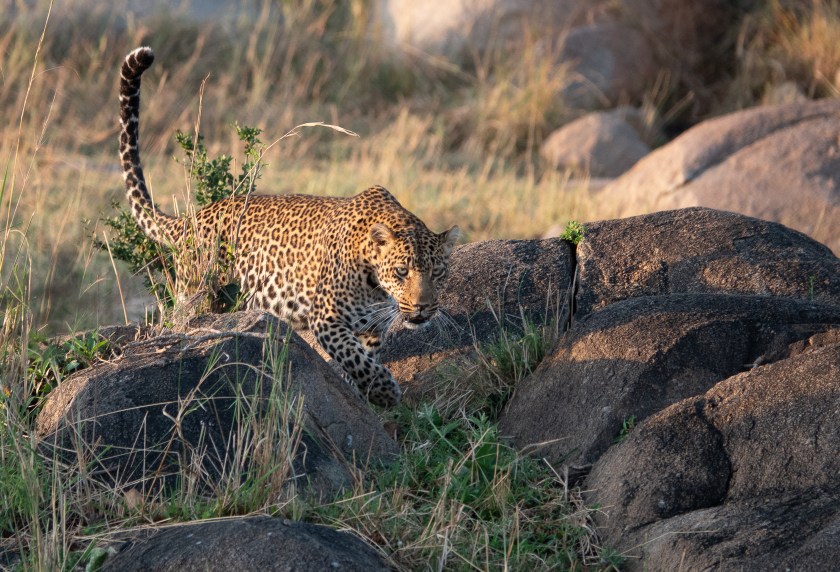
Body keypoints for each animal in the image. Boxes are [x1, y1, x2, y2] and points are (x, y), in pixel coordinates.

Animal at [119, 46, 459, 407]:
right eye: (401, 272)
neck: (375, 280)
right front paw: (384, 391)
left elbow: (360, 361)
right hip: (195, 289)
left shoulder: (369, 329)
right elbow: (353, 357)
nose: (423, 308)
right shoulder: (326, 318)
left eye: (438, 273)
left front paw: (360, 392)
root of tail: (195, 217)